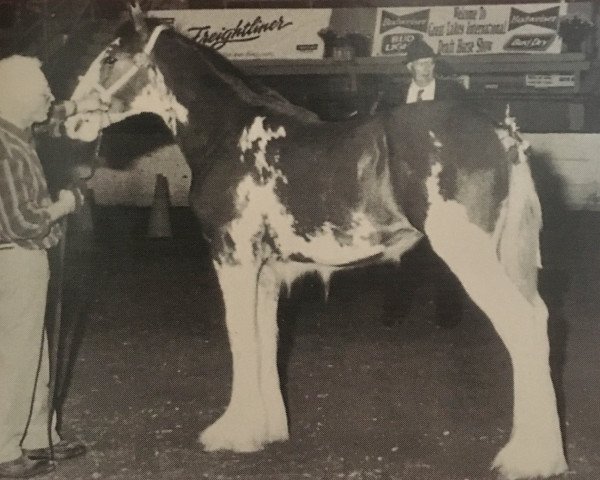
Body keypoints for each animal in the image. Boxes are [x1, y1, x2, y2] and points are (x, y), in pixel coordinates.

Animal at [64, 8, 568, 480]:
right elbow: (265, 338)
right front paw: (266, 429)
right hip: (506, 257)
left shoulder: (233, 257)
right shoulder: (267, 271)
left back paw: (525, 458)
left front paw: (231, 432)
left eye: (109, 57)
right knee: (540, 322)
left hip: (470, 254)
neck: (231, 134)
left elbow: (240, 337)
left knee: (522, 326)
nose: (68, 118)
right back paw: (545, 453)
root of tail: (500, 133)